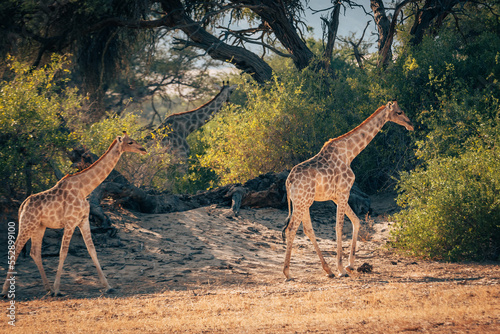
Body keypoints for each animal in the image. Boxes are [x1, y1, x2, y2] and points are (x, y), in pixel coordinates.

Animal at [1, 132, 146, 296]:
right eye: (130, 142)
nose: (143, 149)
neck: (83, 189)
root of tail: (22, 206)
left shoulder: (83, 220)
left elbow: (92, 250)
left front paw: (108, 286)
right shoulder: (70, 222)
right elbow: (63, 252)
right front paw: (58, 289)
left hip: (39, 227)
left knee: (34, 252)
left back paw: (48, 288)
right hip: (27, 225)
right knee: (14, 250)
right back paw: (5, 291)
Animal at [282, 101, 414, 280]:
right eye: (399, 112)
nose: (410, 125)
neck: (349, 153)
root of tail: (288, 182)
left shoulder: (337, 196)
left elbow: (356, 221)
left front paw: (349, 265)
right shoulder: (344, 192)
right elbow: (339, 227)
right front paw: (341, 268)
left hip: (304, 202)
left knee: (308, 230)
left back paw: (328, 270)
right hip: (302, 202)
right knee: (291, 229)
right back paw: (288, 273)